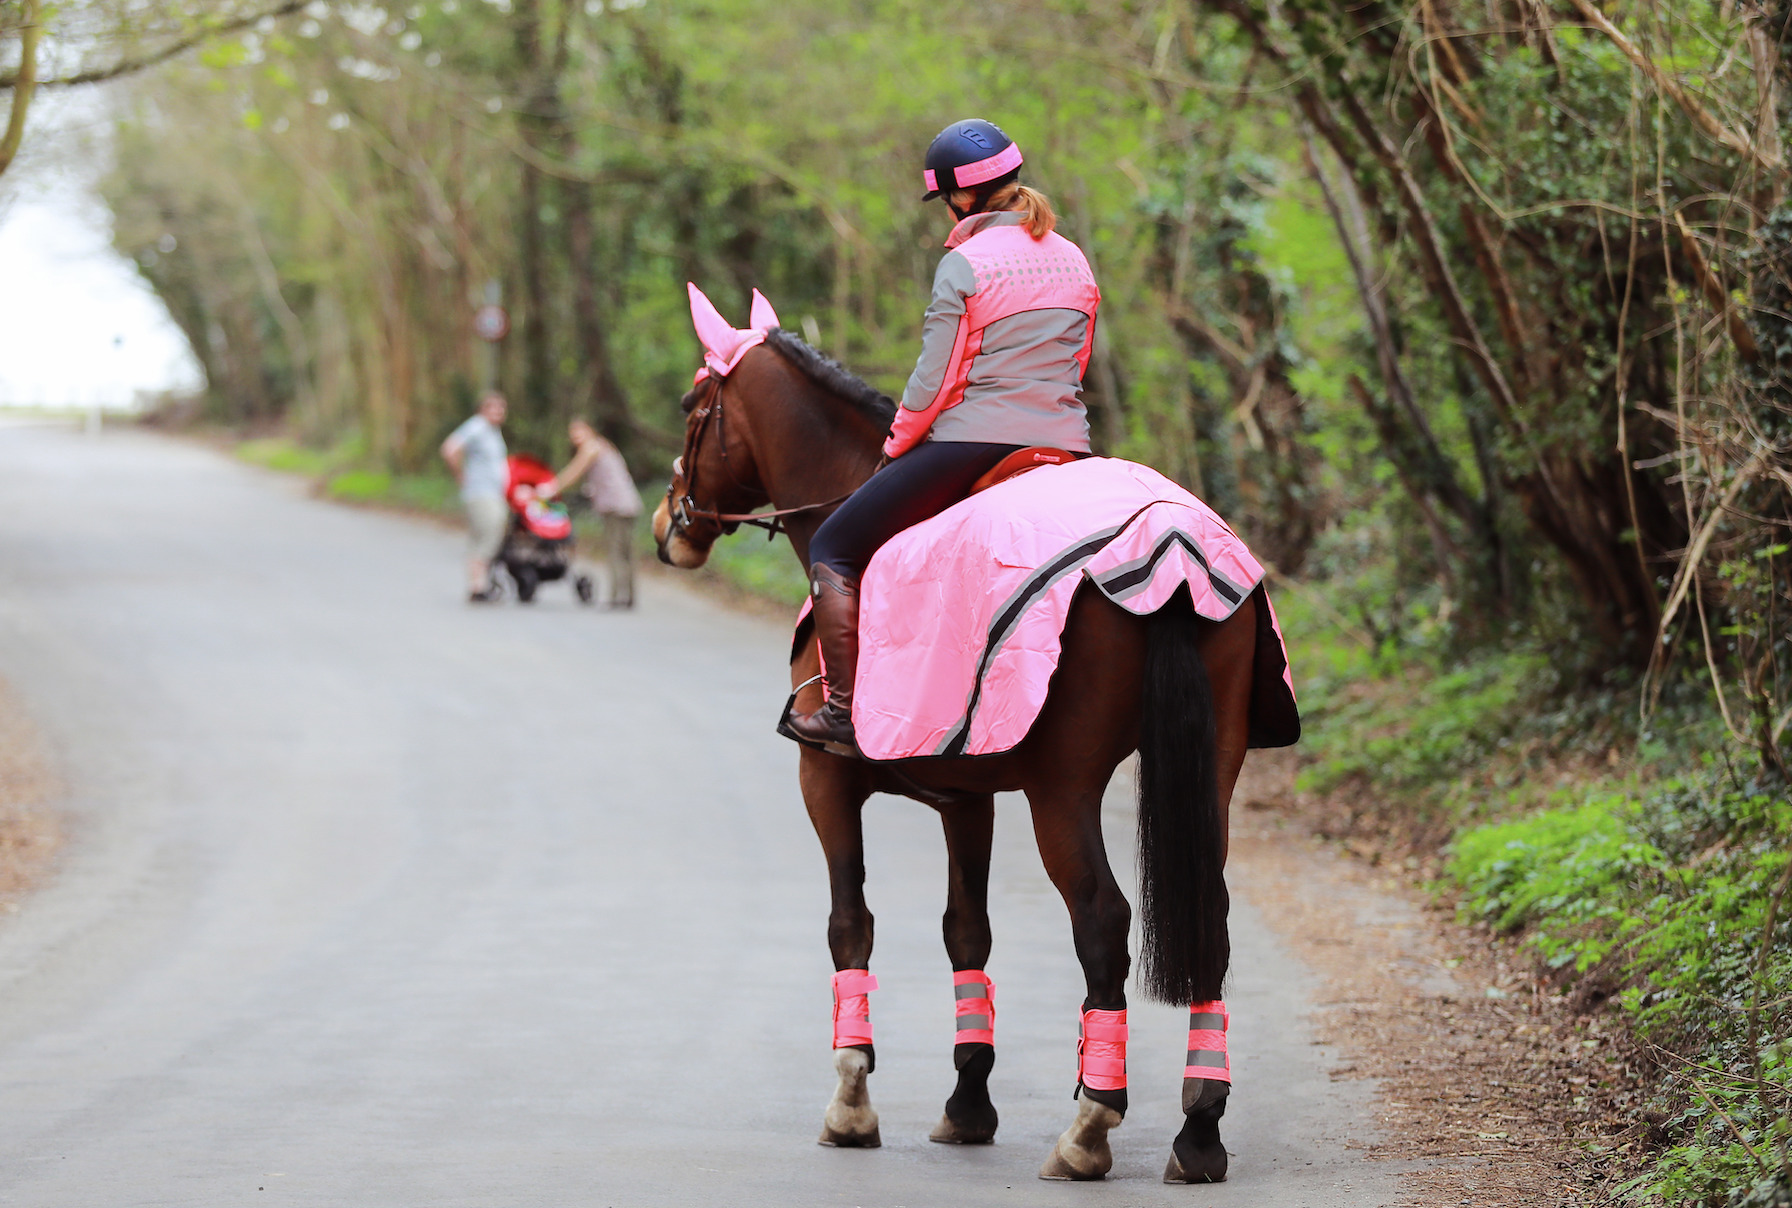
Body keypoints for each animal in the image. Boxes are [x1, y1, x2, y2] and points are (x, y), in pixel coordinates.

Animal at [652, 324, 1268, 1182]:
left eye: (690, 406)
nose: (667, 523)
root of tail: (1168, 546)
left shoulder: (825, 780)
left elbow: (851, 923)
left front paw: (851, 1101)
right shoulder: (966, 798)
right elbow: (966, 930)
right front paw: (968, 1101)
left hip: (1064, 789)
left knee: (1102, 919)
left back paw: (1090, 1126)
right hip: (1215, 770)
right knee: (1211, 917)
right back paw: (1200, 1129)